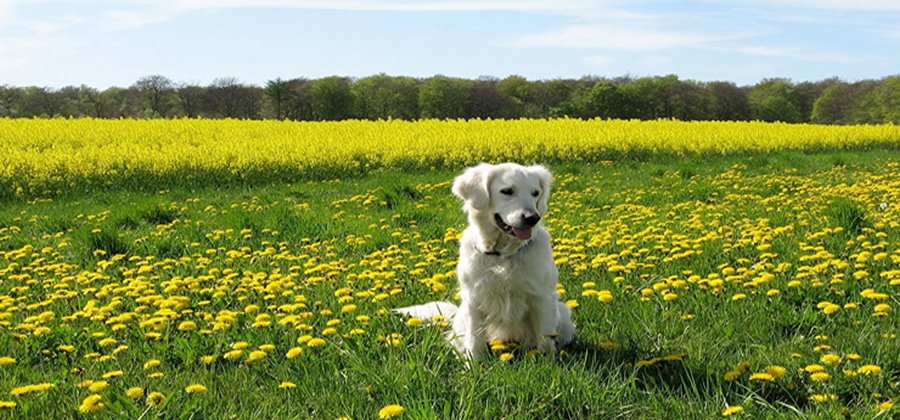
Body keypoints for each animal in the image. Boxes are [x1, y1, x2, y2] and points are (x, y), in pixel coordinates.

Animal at [396, 162, 576, 360]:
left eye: (535, 193)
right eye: (507, 191)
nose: (533, 218)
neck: (502, 254)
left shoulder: (541, 297)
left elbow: (544, 338)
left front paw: (547, 361)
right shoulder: (474, 298)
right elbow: (475, 339)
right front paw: (474, 364)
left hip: (562, 311)